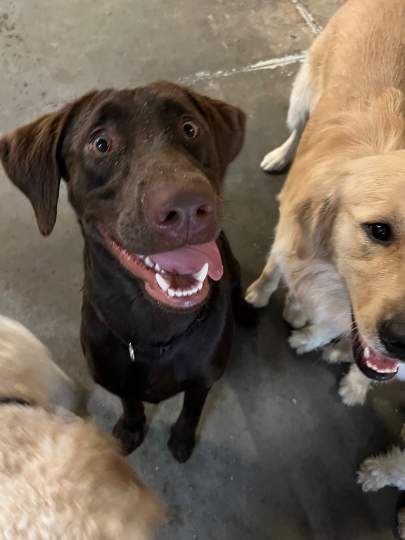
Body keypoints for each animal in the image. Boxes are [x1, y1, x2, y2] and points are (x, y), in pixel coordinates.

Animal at [0, 82, 246, 462]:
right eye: (101, 143)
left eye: (190, 128)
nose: (187, 206)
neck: (154, 326)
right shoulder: (114, 374)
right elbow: (130, 402)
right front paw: (131, 429)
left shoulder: (204, 378)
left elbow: (192, 408)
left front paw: (182, 438)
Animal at [245, 0, 405, 404]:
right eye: (379, 230)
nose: (403, 342)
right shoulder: (287, 235)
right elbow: (273, 274)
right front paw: (261, 297)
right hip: (302, 95)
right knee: (297, 129)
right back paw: (279, 156)